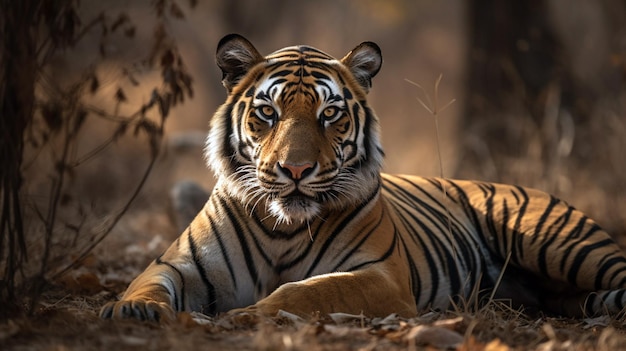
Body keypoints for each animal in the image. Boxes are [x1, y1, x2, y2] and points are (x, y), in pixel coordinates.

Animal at [98, 34, 626, 324]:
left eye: (329, 114)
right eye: (268, 113)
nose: (295, 170)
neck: (282, 228)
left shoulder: (380, 277)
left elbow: (308, 290)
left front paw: (248, 314)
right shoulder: (180, 264)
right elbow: (147, 284)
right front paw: (132, 310)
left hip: (557, 242)